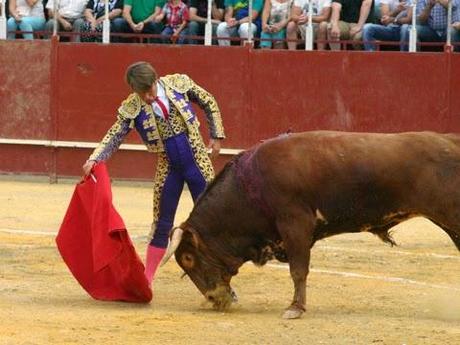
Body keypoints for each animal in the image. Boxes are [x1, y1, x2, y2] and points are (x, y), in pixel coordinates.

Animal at [160, 131, 460, 318]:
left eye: (188, 258)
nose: (213, 299)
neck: (251, 188)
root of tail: (451, 140)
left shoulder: (295, 226)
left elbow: (298, 270)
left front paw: (295, 308)